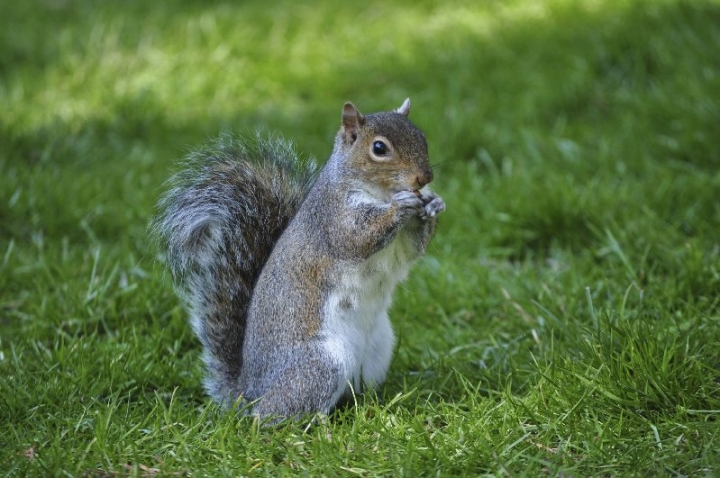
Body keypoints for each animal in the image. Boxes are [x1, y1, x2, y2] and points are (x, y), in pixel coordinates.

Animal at [153, 100, 444, 418]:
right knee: (270, 416)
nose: (424, 178)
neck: (381, 193)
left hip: (377, 352)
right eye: (379, 148)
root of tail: (250, 392)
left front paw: (434, 203)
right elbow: (356, 238)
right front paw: (401, 206)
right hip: (318, 365)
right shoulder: (332, 216)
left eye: (422, 137)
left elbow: (412, 249)